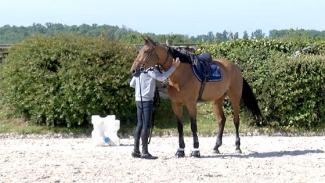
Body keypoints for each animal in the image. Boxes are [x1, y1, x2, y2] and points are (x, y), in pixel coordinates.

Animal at [129, 36, 260, 157]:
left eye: (146, 52)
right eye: (139, 51)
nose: (134, 70)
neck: (181, 75)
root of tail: (236, 68)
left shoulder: (191, 104)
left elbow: (193, 126)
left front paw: (195, 150)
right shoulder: (176, 105)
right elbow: (180, 127)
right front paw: (180, 150)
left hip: (234, 98)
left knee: (236, 120)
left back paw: (237, 147)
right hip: (217, 100)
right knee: (221, 120)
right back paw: (216, 147)